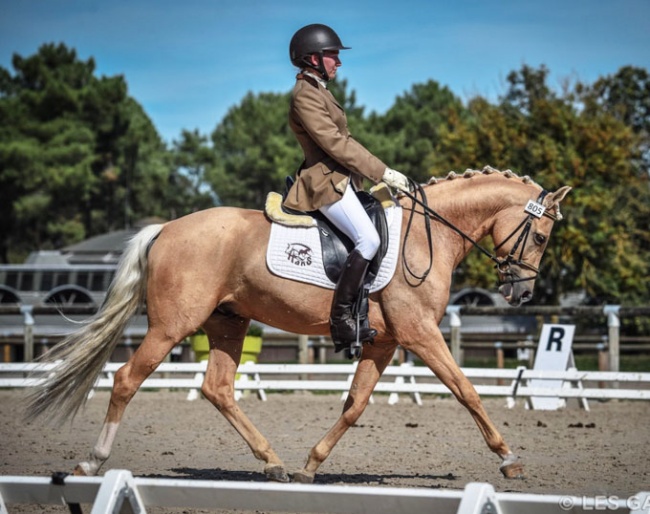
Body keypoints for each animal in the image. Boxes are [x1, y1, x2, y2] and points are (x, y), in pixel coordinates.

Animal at [27, 166, 568, 482]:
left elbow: (354, 405)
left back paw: (274, 462)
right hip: (171, 327)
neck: (425, 234)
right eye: (541, 237)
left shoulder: (384, 342)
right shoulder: (420, 334)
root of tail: (167, 228)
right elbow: (466, 389)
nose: (521, 293)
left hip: (228, 323)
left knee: (217, 388)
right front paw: (508, 458)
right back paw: (92, 461)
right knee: (125, 378)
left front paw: (312, 463)